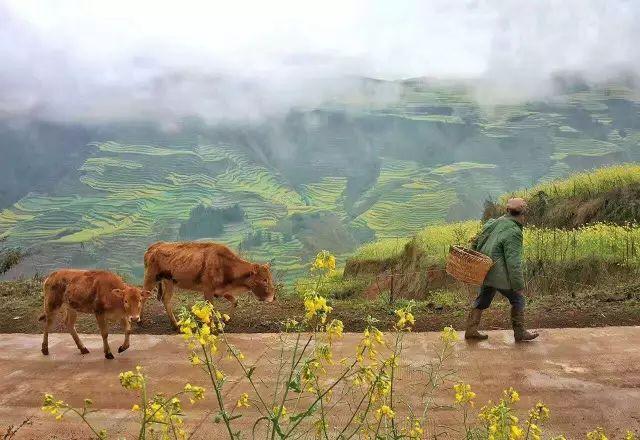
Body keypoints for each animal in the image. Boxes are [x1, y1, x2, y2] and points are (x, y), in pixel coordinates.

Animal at [142, 241, 276, 330]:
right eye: (264, 280)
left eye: (270, 278)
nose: (273, 297)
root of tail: (154, 246)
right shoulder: (208, 290)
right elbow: (210, 308)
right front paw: (211, 326)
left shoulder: (221, 290)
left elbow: (235, 301)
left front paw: (225, 320)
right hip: (151, 278)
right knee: (143, 296)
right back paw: (140, 321)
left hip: (169, 281)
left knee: (166, 299)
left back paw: (175, 325)